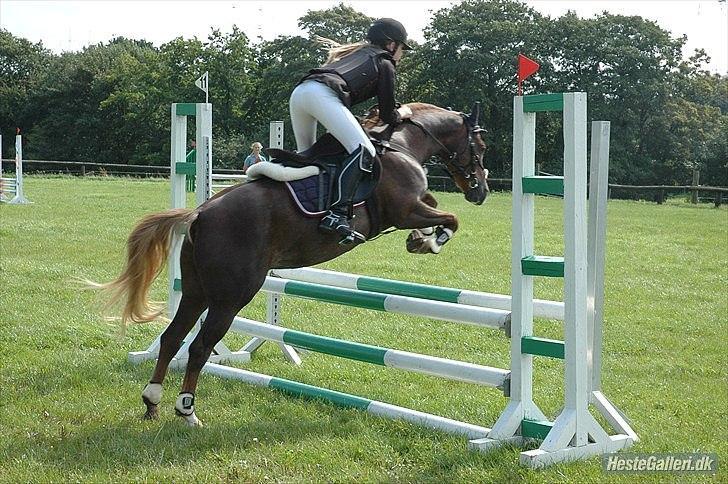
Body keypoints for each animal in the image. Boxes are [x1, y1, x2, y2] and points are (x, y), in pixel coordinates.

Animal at [97, 102, 489, 426]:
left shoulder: (415, 206)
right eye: (481, 148)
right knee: (199, 346)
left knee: (172, 337)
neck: (402, 144)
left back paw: (152, 401)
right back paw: (187, 410)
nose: (481, 192)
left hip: (195, 292)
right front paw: (432, 239)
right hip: (231, 296)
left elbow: (436, 204)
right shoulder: (405, 209)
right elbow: (451, 218)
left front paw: (420, 238)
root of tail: (200, 213)